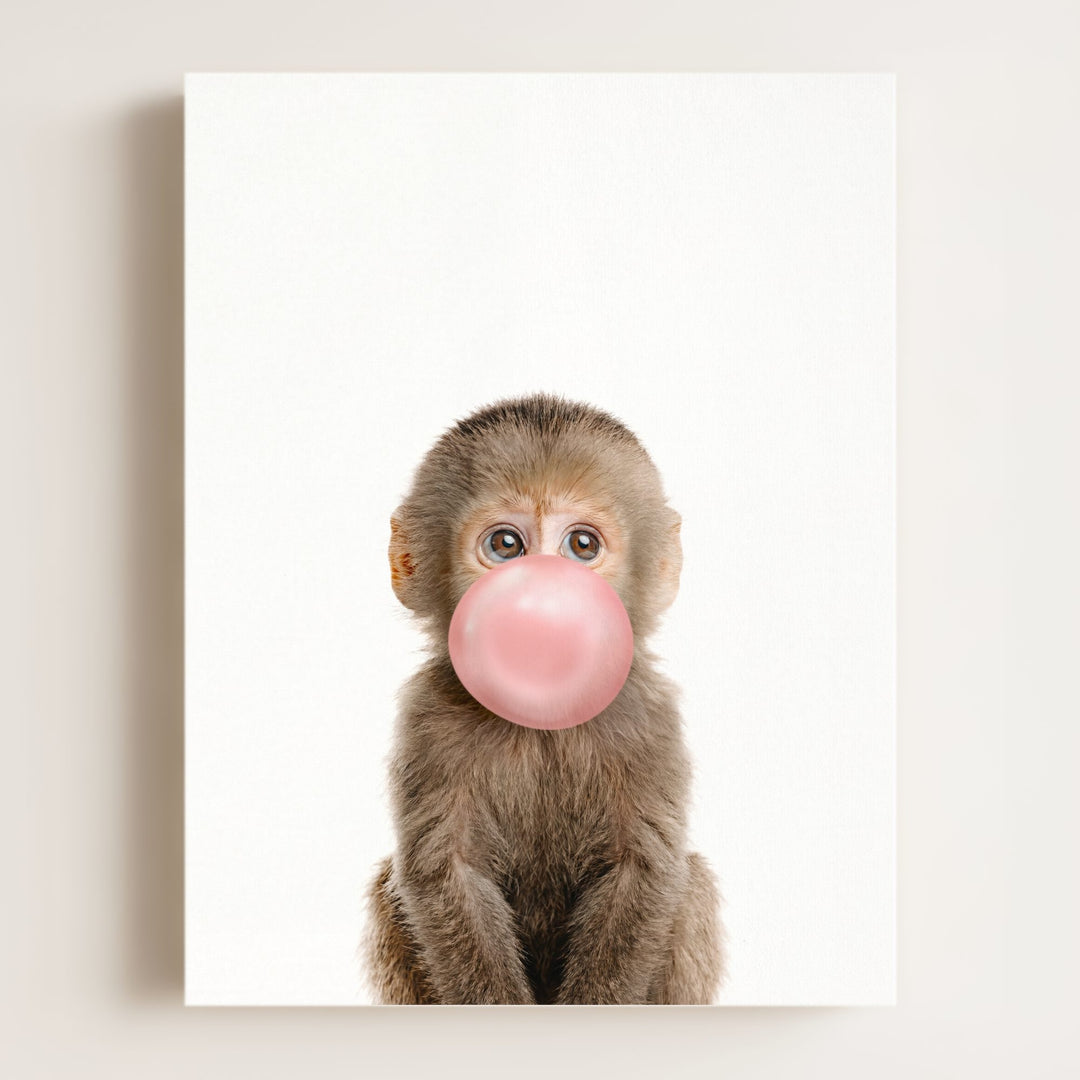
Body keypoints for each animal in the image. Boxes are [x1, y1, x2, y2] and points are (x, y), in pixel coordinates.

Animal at [364, 394, 724, 1005]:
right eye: (506, 545)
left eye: (582, 545)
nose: (543, 595)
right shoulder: (429, 718)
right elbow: (447, 873)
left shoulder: (648, 716)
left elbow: (642, 870)